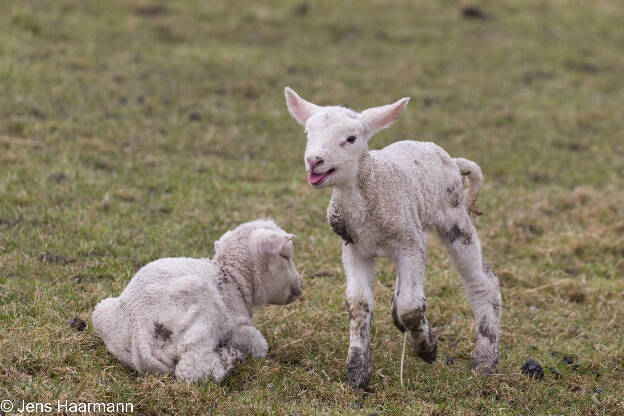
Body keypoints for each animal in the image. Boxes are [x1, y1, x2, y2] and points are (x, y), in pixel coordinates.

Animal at [92, 219, 302, 382]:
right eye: (285, 256)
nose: (300, 286)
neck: (233, 278)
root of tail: (139, 336)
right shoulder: (239, 324)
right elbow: (258, 344)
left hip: (101, 311)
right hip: (202, 305)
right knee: (192, 369)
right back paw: (230, 359)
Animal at [286, 86, 504, 388]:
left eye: (351, 139)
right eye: (308, 133)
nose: (314, 161)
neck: (369, 190)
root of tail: (451, 159)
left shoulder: (408, 245)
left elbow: (411, 307)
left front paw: (427, 348)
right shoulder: (354, 247)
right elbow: (359, 304)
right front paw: (357, 372)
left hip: (453, 218)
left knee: (483, 282)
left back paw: (485, 360)